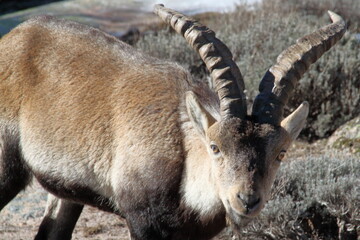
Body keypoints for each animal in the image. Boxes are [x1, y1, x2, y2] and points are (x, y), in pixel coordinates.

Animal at [0, 3, 346, 240]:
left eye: (281, 153)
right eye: (215, 147)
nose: (247, 200)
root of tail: (13, 38)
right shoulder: (141, 220)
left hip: (66, 192)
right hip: (6, 164)